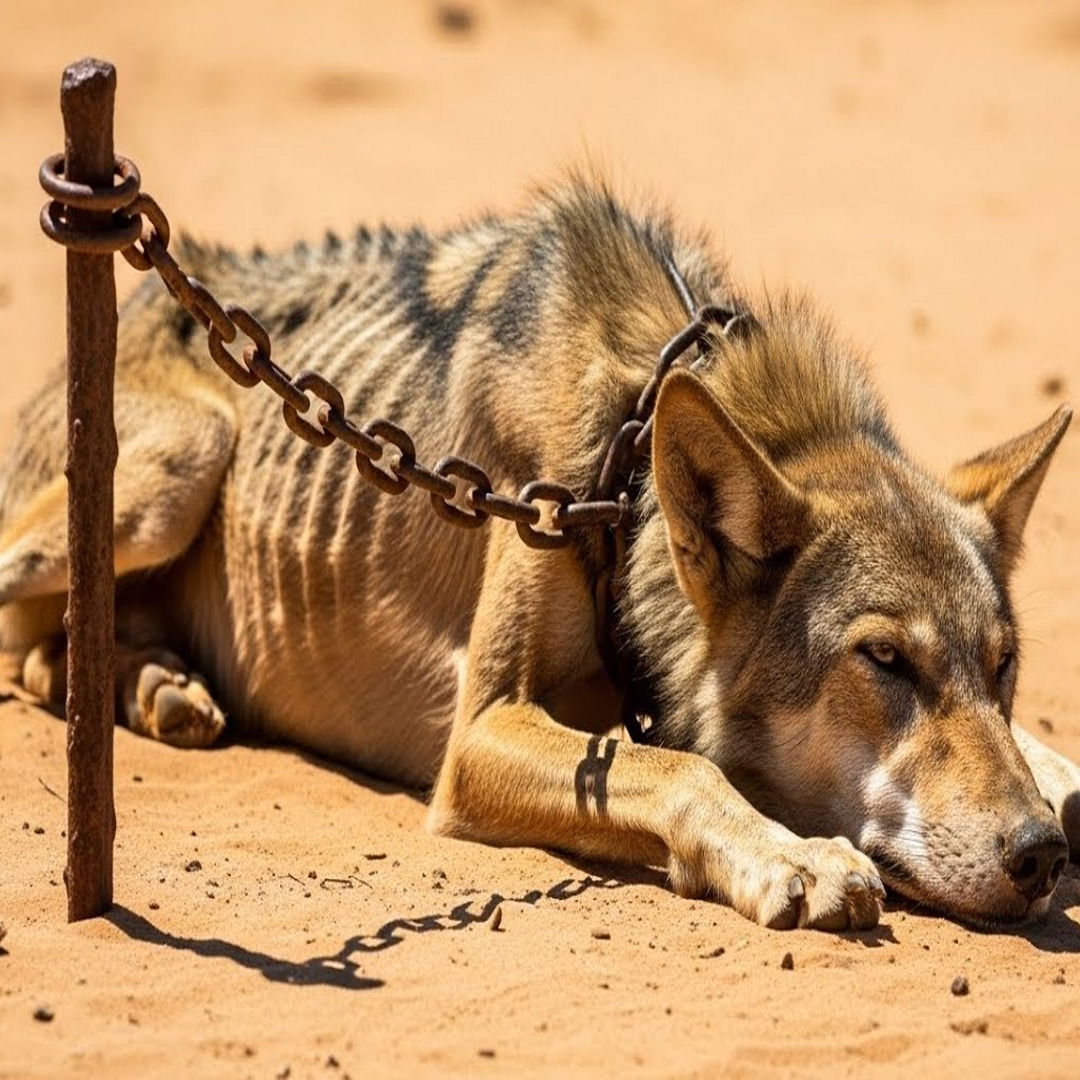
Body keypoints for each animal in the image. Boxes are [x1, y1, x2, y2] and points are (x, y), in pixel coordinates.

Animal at [2, 178, 1078, 931]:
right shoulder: (480, 730)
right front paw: (800, 858)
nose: (1037, 856)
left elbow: (1050, 762)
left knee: (58, 653)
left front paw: (1055, 788)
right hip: (181, 466)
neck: (625, 471)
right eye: (884, 659)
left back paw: (160, 687)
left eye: (1004, 665)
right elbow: (680, 768)